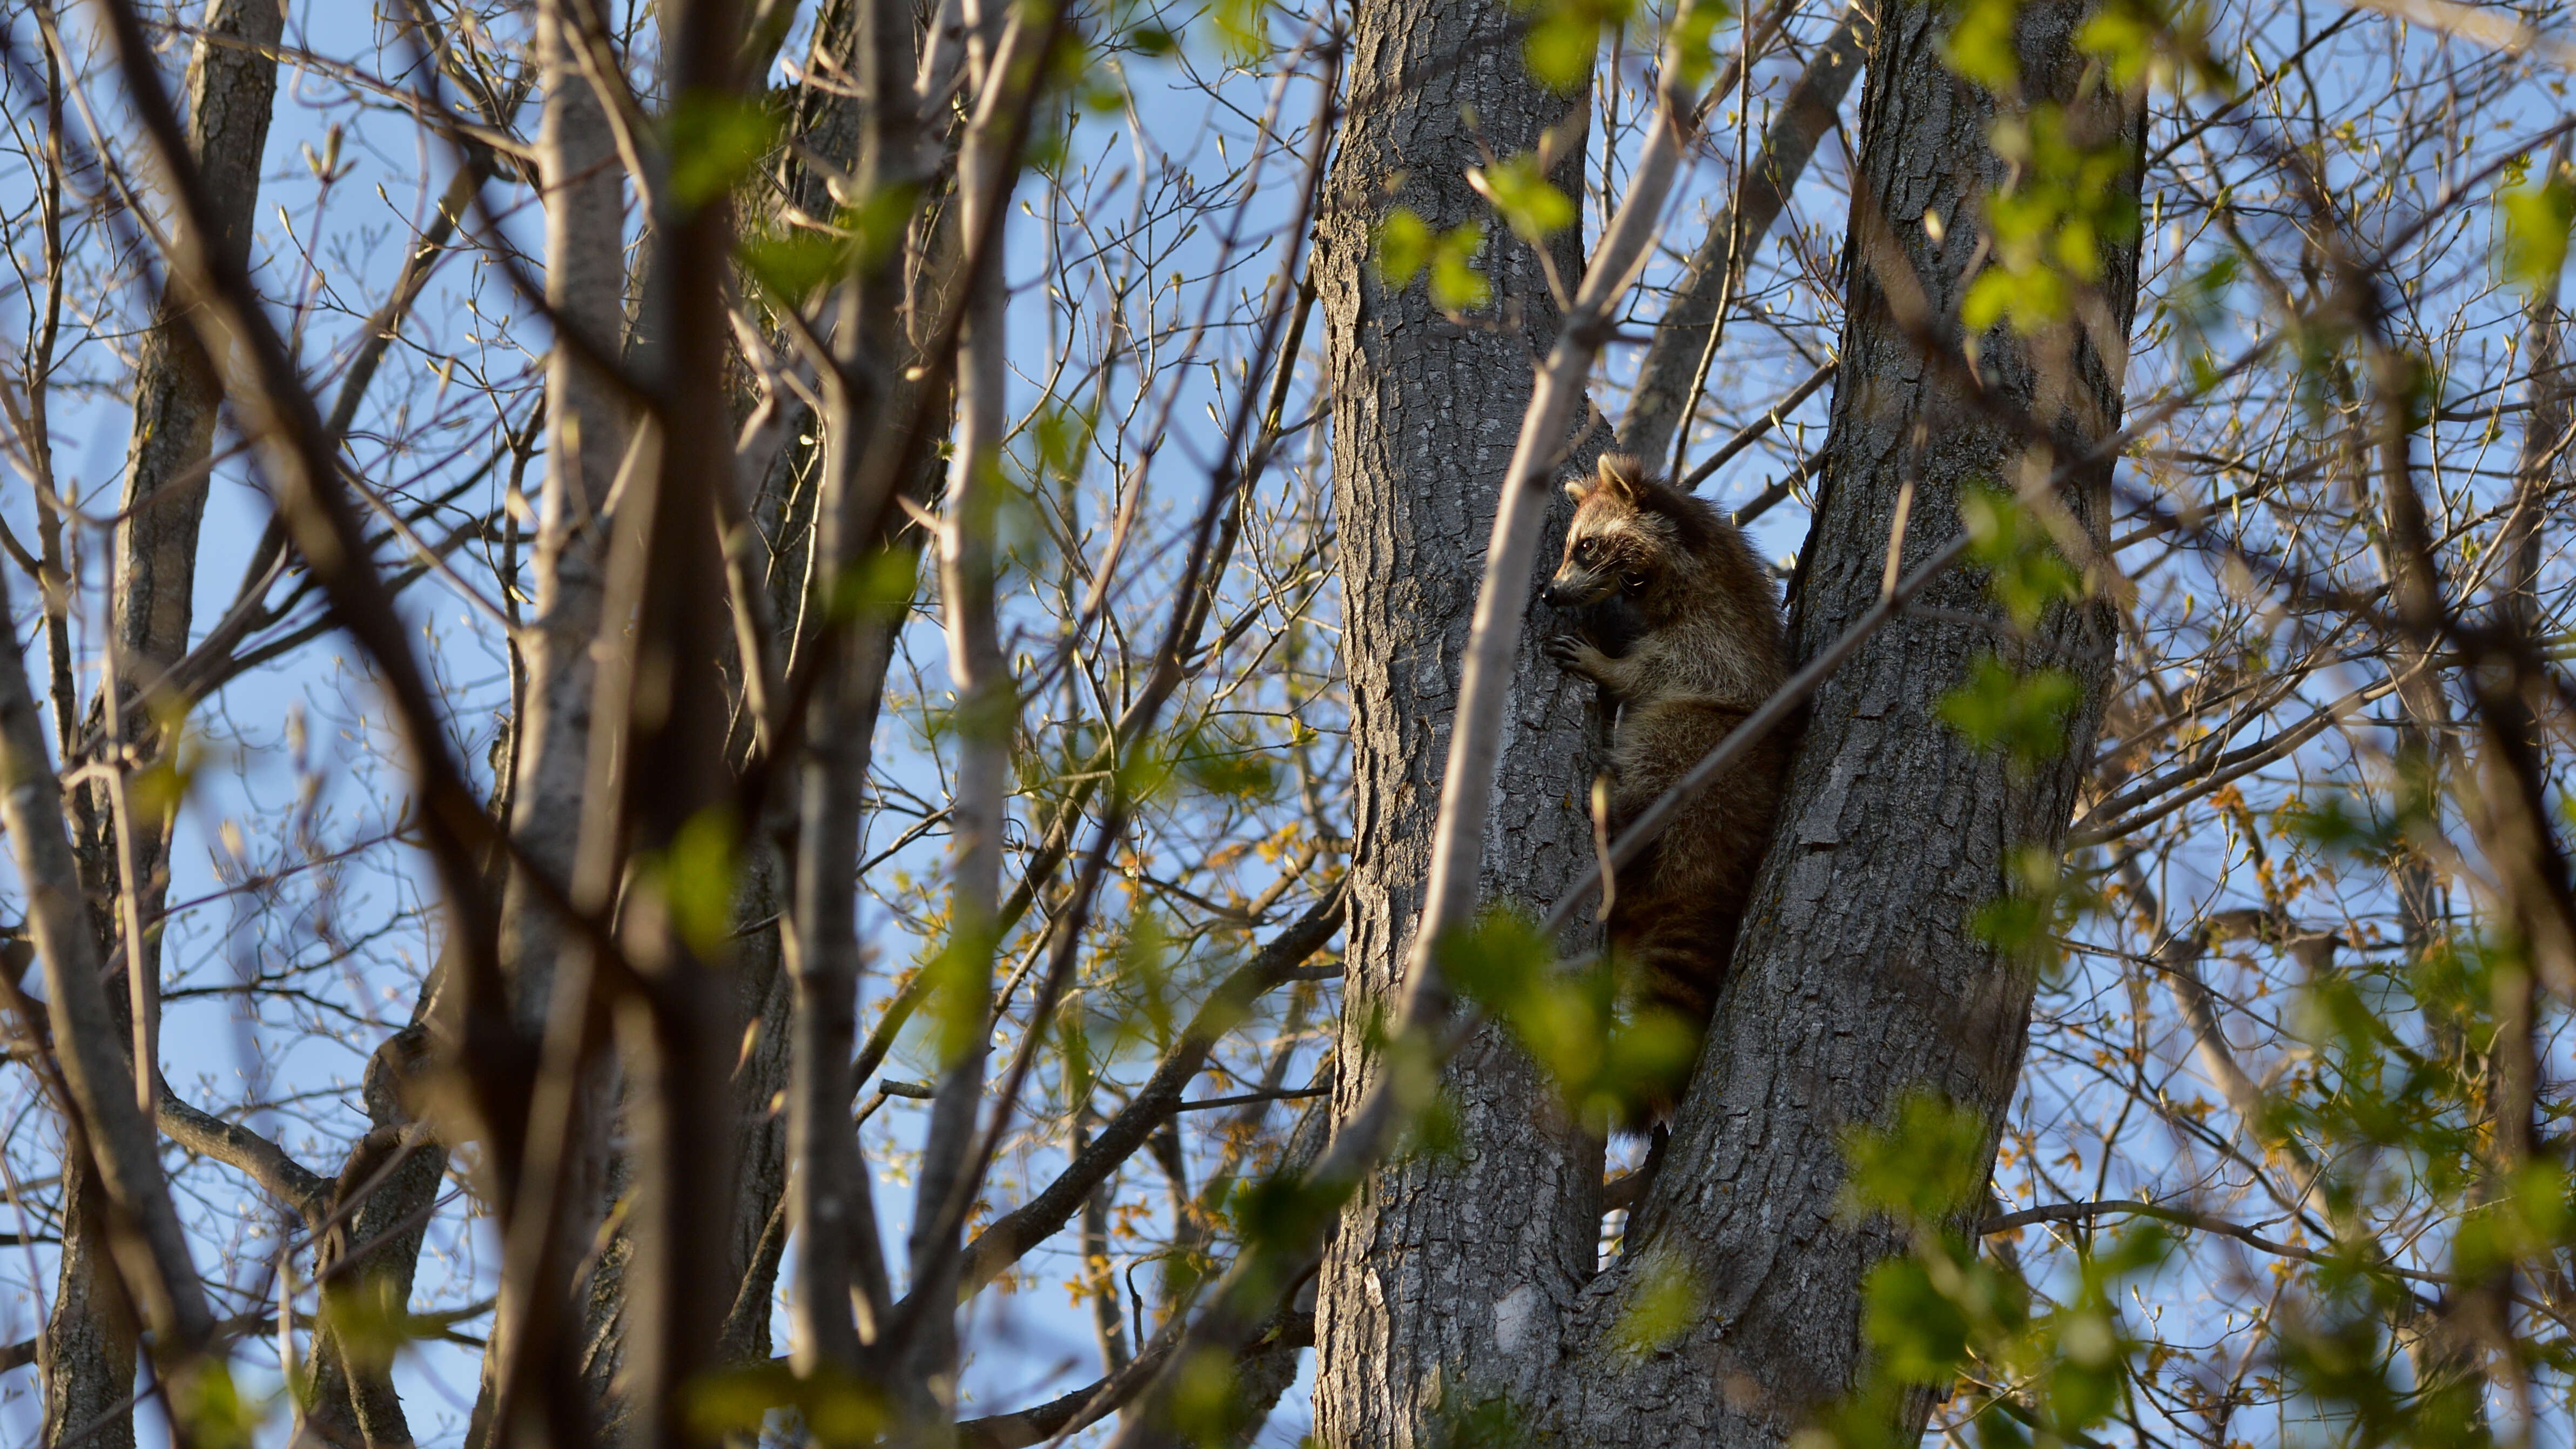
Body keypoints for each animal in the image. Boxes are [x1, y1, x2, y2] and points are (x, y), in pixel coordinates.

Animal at [1545, 451, 1793, 1093]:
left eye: (1584, 546)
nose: (1549, 594)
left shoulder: (1715, 634)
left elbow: (1668, 671)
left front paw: (1608, 666)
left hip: (1709, 755)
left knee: (1665, 737)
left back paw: (1618, 810)